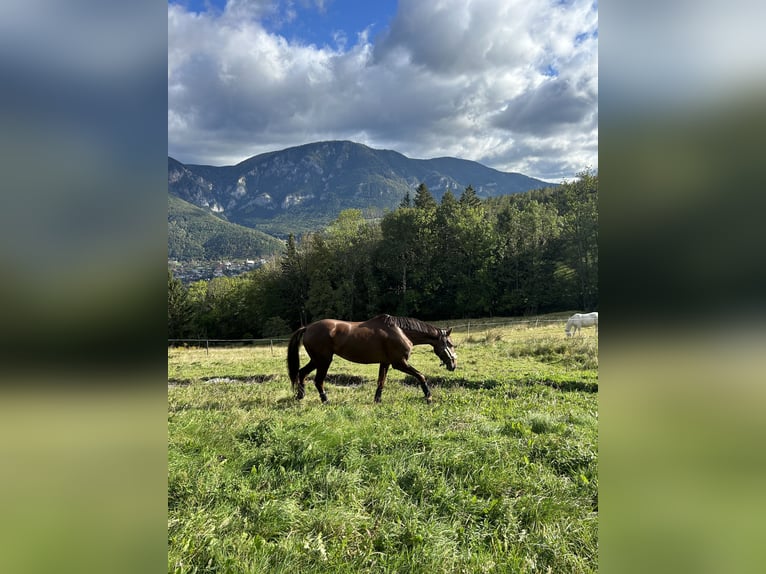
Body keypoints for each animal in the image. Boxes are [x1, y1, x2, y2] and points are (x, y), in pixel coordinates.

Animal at [288, 316, 456, 404]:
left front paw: (377, 400)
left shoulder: (386, 362)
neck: (401, 331)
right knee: (318, 380)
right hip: (324, 360)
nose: (453, 365)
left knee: (301, 373)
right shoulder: (399, 363)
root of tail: (307, 328)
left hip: (316, 360)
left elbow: (381, 382)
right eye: (450, 344)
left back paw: (300, 396)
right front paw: (428, 397)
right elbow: (421, 376)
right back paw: (325, 400)